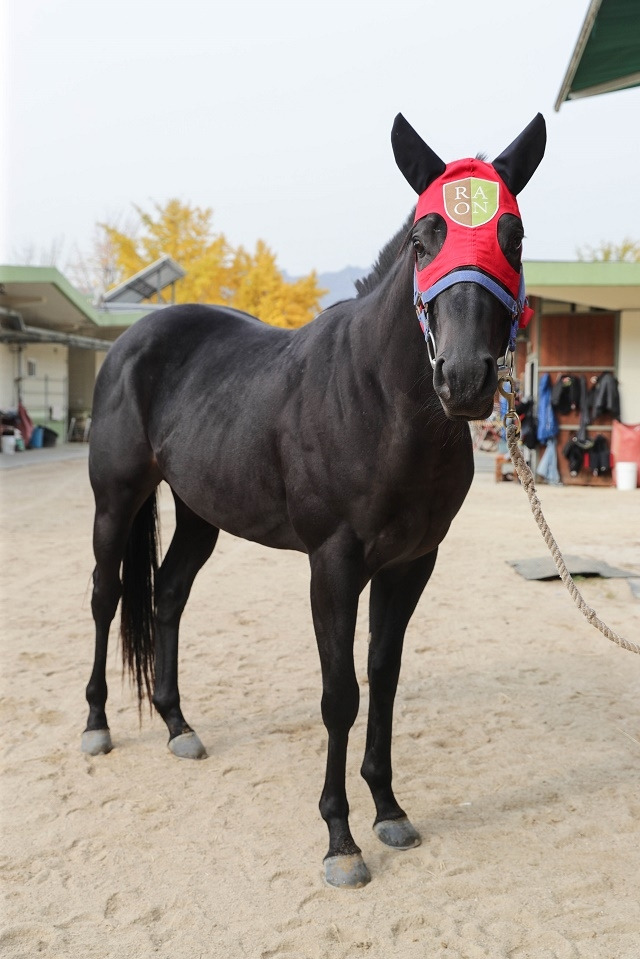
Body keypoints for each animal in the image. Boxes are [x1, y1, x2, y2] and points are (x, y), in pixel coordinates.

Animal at [84, 116, 544, 888]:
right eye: (423, 240)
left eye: (511, 236)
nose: (464, 378)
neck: (381, 402)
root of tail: (132, 340)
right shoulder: (332, 566)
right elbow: (341, 694)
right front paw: (340, 840)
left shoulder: (411, 564)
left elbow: (384, 679)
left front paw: (388, 808)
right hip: (115, 502)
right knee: (106, 597)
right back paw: (96, 725)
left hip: (201, 512)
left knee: (169, 595)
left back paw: (179, 726)